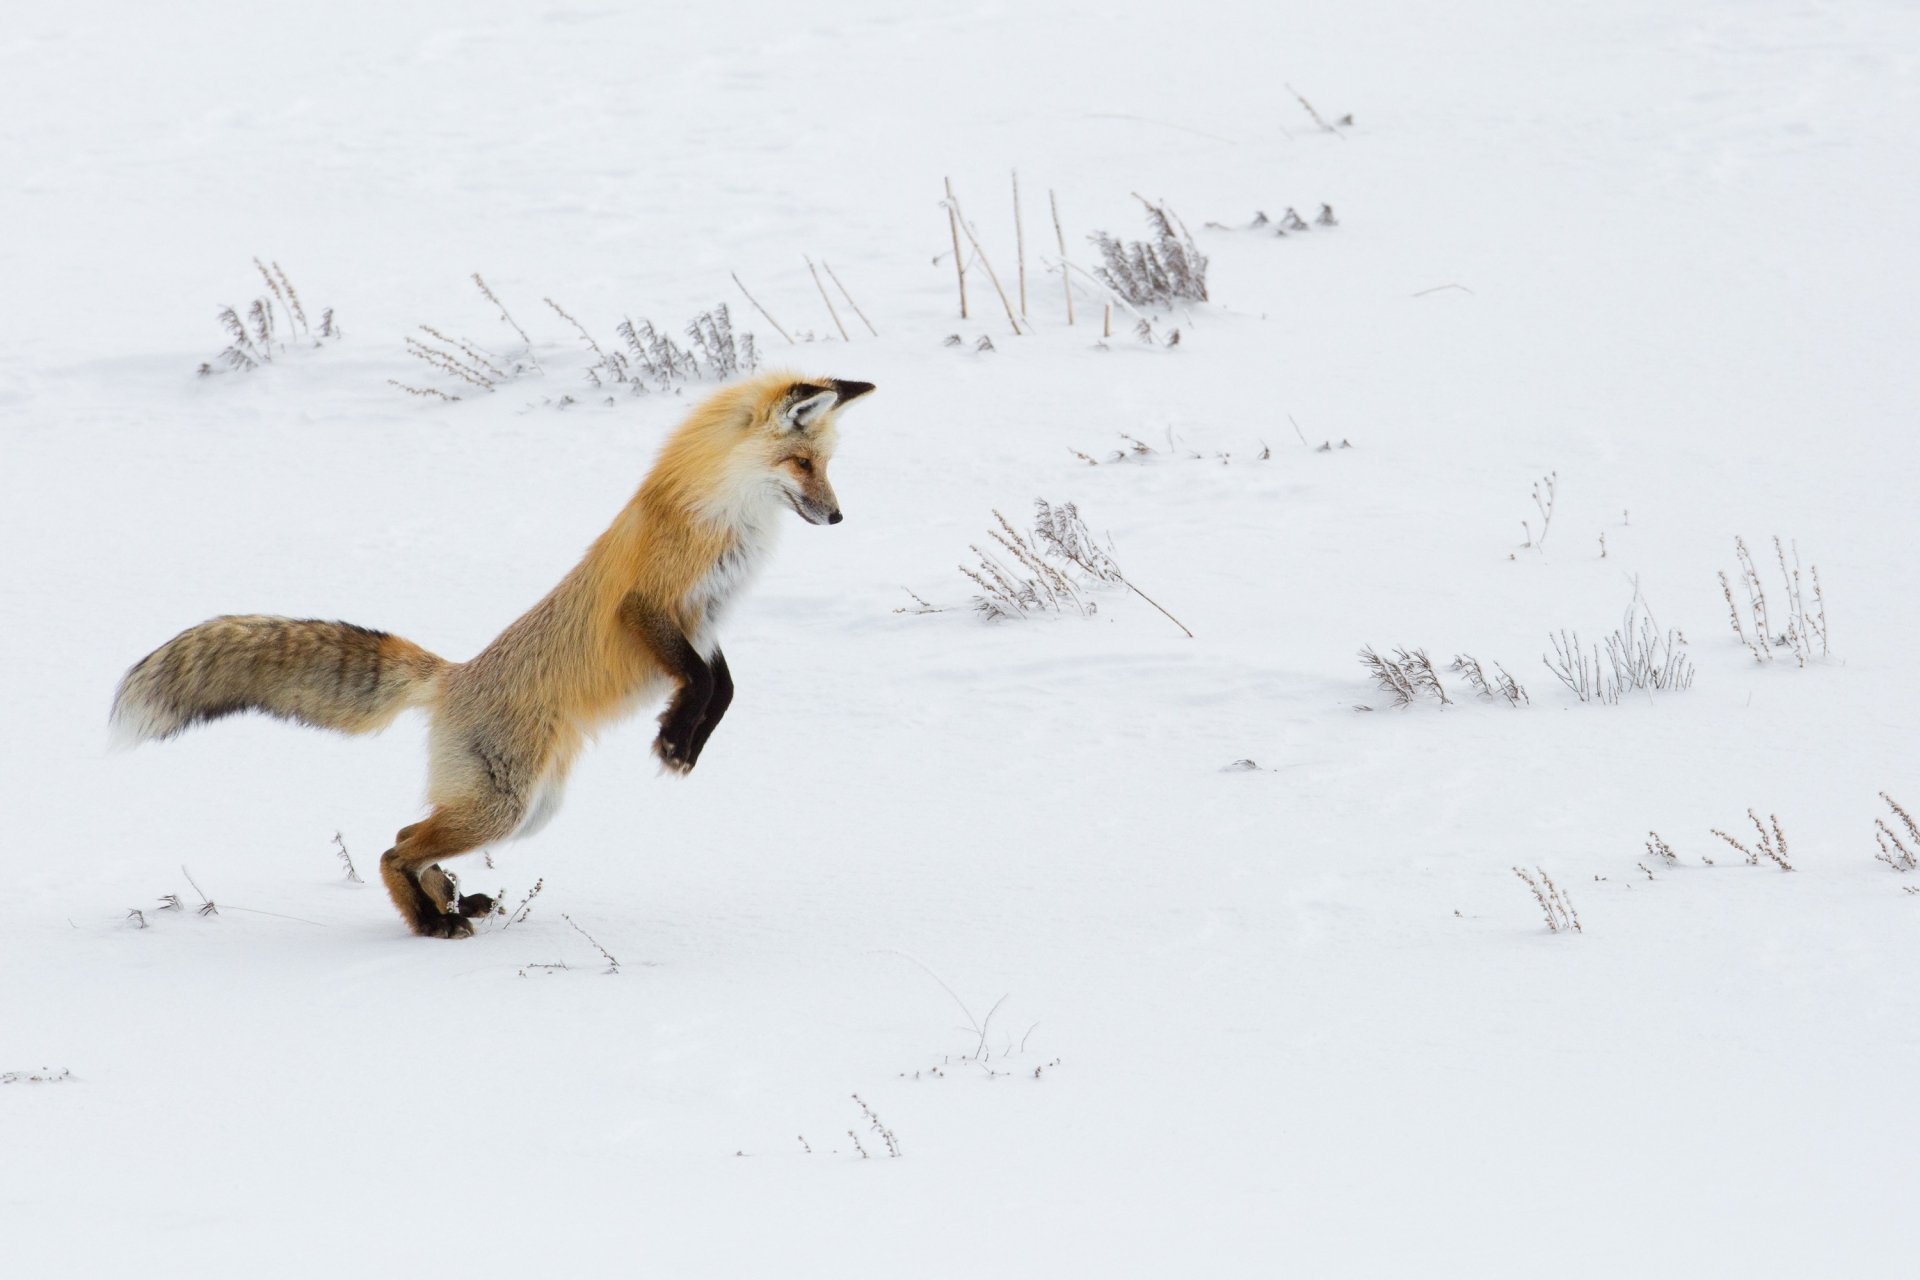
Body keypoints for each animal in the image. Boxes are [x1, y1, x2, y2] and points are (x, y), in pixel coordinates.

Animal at [111, 372, 874, 938]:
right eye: (803, 463)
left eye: (827, 465)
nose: (839, 516)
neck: (722, 517)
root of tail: (453, 676)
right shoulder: (651, 608)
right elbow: (699, 682)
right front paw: (674, 740)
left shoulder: (707, 624)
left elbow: (723, 688)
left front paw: (684, 739)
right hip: (504, 807)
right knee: (393, 846)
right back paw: (432, 920)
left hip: (528, 808)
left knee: (405, 832)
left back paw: (449, 901)